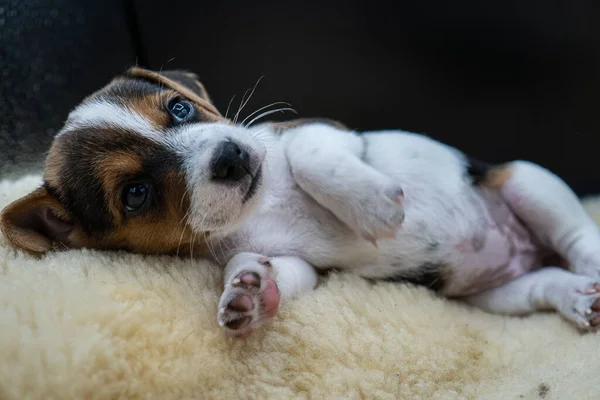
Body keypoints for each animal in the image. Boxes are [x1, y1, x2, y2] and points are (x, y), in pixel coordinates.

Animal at [1, 67, 600, 336]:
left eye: (179, 108)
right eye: (135, 193)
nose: (231, 157)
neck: (262, 202)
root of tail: (529, 250)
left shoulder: (322, 131)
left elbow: (313, 159)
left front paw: (376, 207)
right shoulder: (300, 264)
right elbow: (266, 270)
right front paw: (246, 294)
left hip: (525, 181)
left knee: (577, 236)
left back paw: (589, 266)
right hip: (490, 296)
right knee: (544, 281)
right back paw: (576, 296)